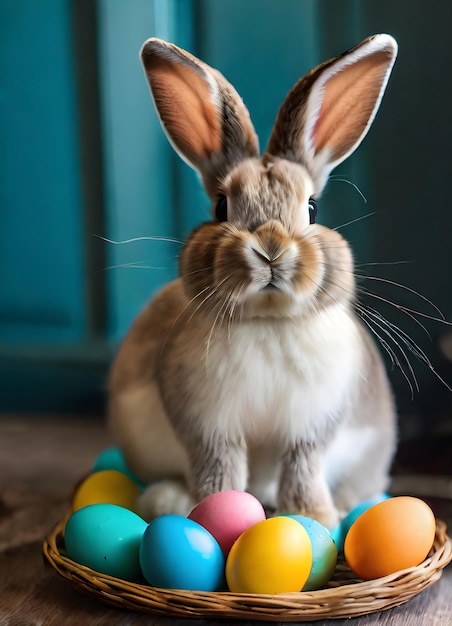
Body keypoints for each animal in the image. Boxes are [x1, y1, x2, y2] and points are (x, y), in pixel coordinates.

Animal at [109, 34, 400, 528]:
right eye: (221, 207)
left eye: (313, 209)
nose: (270, 249)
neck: (267, 321)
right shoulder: (208, 424)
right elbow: (220, 468)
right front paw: (212, 514)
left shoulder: (311, 427)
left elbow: (302, 466)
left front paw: (314, 519)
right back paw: (167, 501)